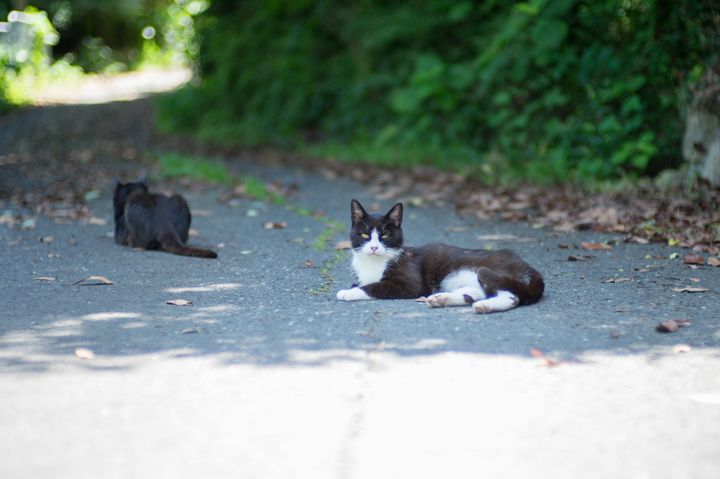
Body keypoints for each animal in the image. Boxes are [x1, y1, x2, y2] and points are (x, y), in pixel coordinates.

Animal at [338, 200, 544, 316]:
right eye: (365, 235)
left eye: (385, 236)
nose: (373, 247)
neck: (373, 263)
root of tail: (529, 267)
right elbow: (360, 283)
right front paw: (351, 287)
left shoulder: (409, 284)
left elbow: (373, 286)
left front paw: (348, 292)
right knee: (474, 293)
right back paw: (442, 299)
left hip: (491, 270)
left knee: (512, 296)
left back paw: (484, 306)